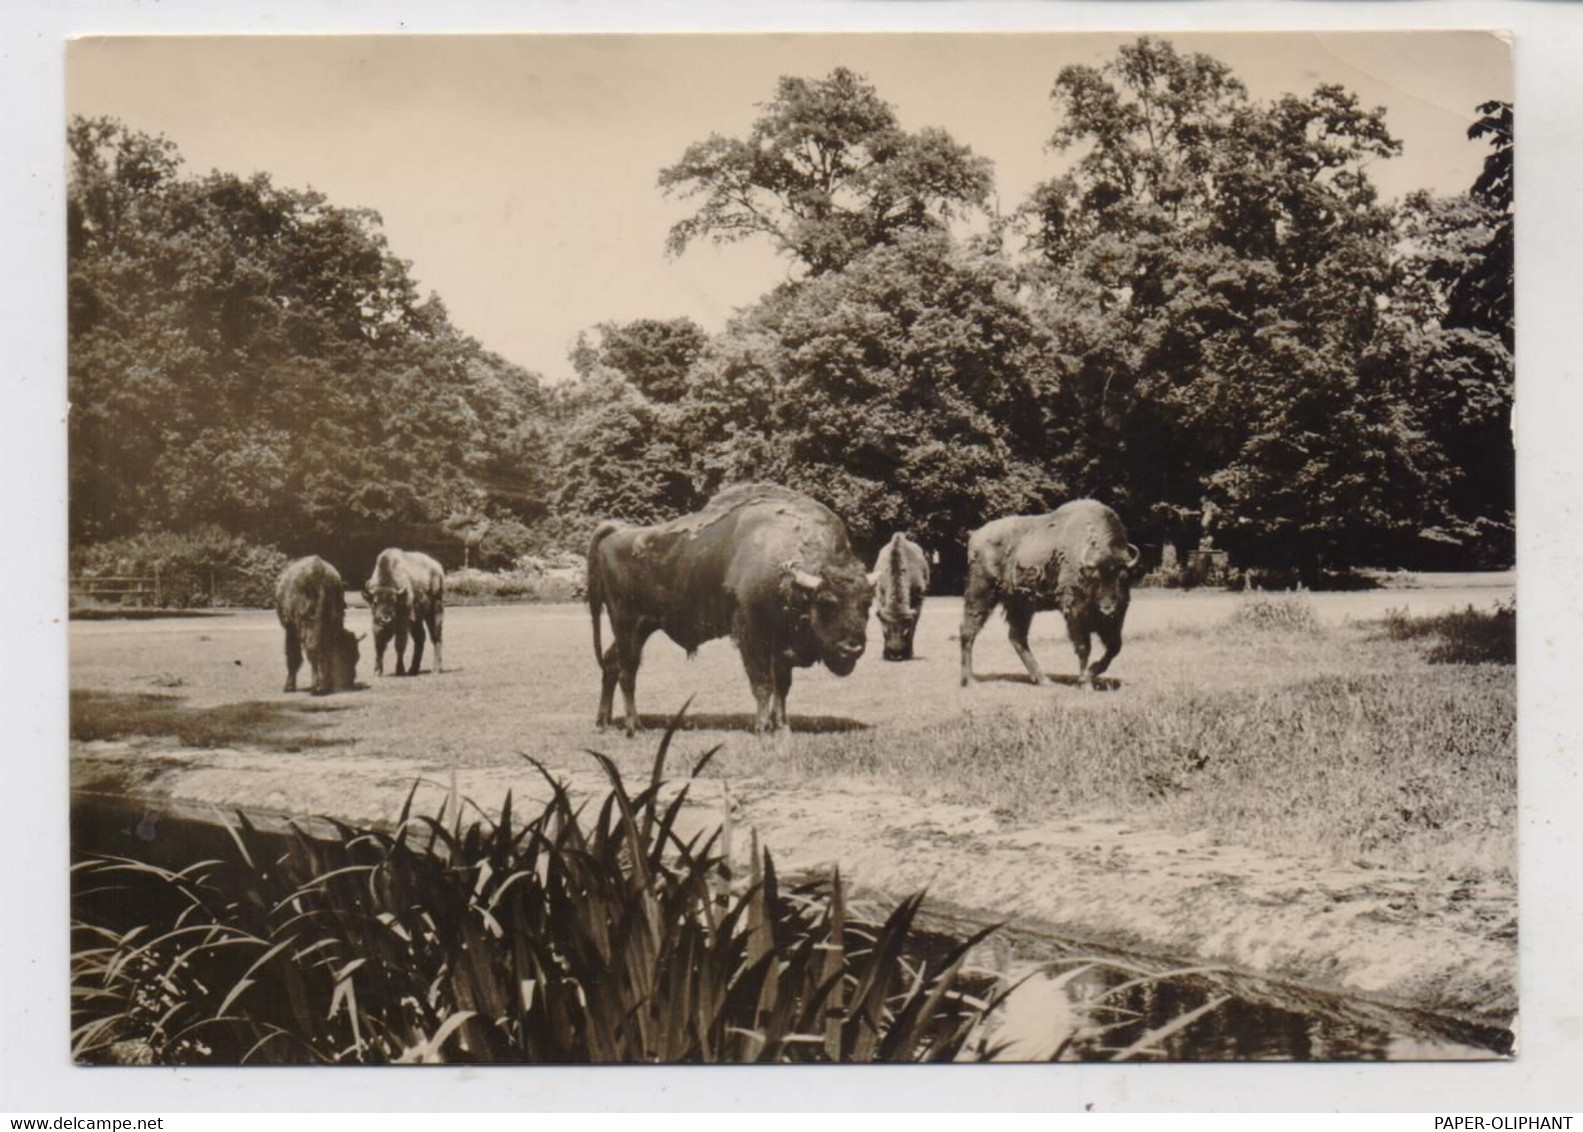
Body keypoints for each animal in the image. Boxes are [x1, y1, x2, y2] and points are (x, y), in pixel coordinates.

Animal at [280, 557, 365, 696]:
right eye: (354, 656)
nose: (351, 680)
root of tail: (318, 570)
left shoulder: (290, 629)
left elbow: (293, 656)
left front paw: (289, 686)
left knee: (313, 650)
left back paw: (317, 687)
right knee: (323, 651)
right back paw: (323, 686)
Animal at [585, 484, 873, 734]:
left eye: (867, 603)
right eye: (826, 602)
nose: (852, 647)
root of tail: (616, 533)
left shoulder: (781, 645)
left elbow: (782, 685)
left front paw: (781, 725)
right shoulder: (752, 635)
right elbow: (762, 683)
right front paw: (762, 728)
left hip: (641, 627)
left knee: (611, 663)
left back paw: (603, 723)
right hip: (627, 624)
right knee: (627, 672)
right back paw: (634, 727)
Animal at [949, 503, 1139, 690]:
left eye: (1123, 577)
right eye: (1095, 578)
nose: (1108, 610)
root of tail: (975, 536)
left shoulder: (1117, 618)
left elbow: (1115, 647)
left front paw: (1091, 672)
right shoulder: (1075, 613)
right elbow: (1084, 647)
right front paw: (1085, 682)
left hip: (1021, 605)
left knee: (1017, 638)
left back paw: (1044, 680)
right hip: (981, 594)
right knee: (968, 631)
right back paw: (970, 681)